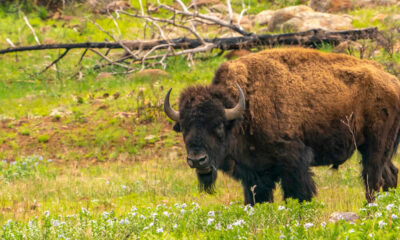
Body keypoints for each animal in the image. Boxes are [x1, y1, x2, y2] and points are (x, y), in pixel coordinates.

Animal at [163, 47, 400, 204]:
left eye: (219, 125)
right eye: (184, 127)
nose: (197, 160)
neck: (244, 108)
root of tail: (392, 81)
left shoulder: (294, 162)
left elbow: (298, 194)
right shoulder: (254, 173)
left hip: (375, 147)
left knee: (373, 179)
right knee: (389, 175)